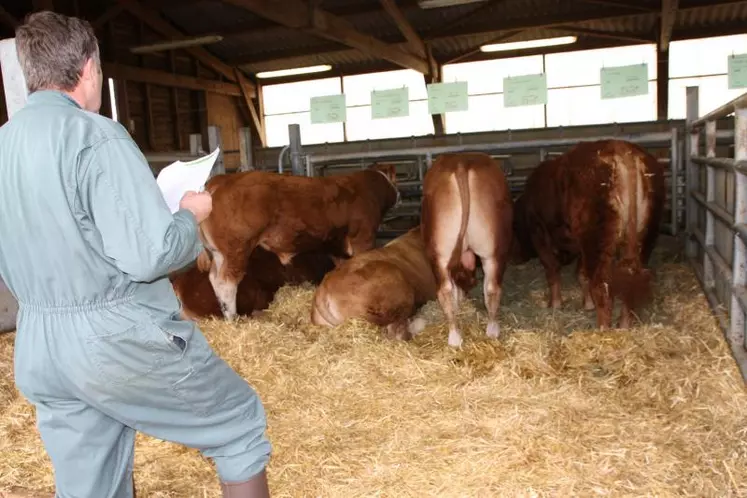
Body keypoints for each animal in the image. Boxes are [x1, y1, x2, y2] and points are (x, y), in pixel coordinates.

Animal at [197, 163, 398, 320]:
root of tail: (223, 180)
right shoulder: (363, 238)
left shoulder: (336, 248)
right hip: (237, 249)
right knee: (226, 283)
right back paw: (233, 317)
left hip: (218, 252)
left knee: (214, 279)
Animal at [420, 152, 516, 346]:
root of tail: (461, 163)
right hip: (495, 251)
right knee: (492, 288)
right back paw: (493, 330)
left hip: (440, 252)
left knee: (446, 290)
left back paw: (455, 338)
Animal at [516, 138, 668, 328]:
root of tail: (622, 150)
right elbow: (581, 274)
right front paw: (587, 304)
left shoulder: (539, 232)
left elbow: (552, 269)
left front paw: (555, 304)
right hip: (645, 237)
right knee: (630, 280)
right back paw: (623, 325)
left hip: (596, 240)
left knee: (602, 286)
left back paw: (602, 329)